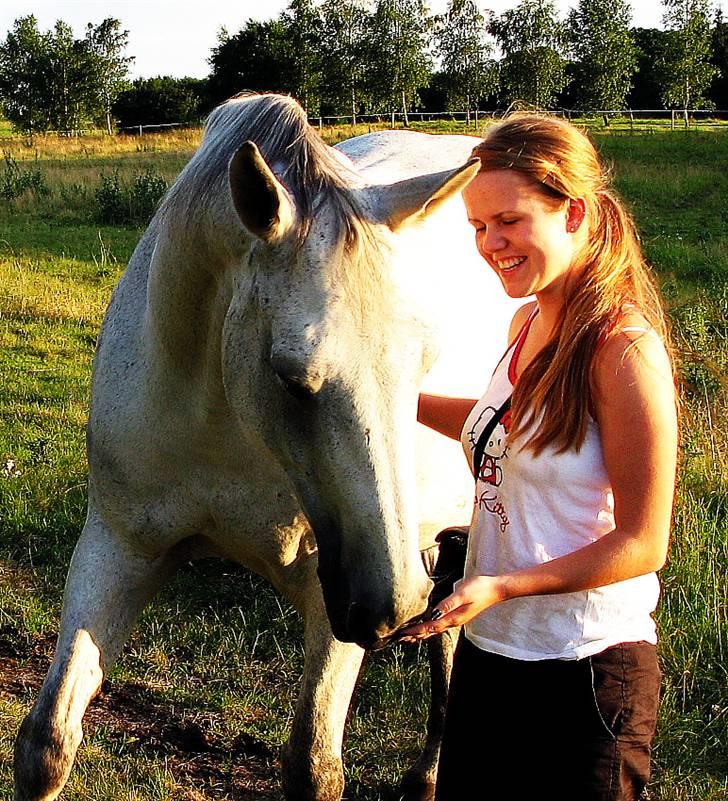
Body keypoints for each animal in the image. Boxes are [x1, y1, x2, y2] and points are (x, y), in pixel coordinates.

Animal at [14, 92, 516, 800]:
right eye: (289, 376)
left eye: (426, 364)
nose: (387, 609)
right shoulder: (120, 543)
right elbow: (47, 742)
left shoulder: (336, 592)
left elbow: (313, 767)